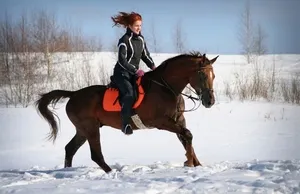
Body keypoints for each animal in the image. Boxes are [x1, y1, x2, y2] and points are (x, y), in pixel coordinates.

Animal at [34, 51, 218, 173]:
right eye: (202, 75)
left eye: (213, 76)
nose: (210, 101)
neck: (166, 88)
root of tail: (73, 94)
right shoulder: (161, 122)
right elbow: (187, 135)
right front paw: (189, 162)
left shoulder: (178, 119)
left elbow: (186, 138)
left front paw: (196, 164)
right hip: (90, 129)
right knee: (95, 155)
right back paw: (112, 173)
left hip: (82, 130)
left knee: (70, 149)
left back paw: (67, 172)